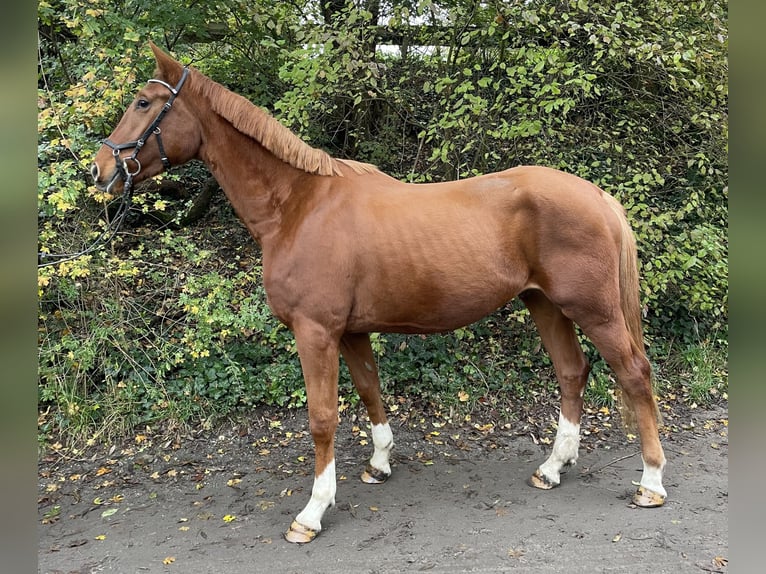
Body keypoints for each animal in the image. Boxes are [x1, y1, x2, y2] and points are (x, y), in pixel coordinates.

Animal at [88, 41, 664, 544]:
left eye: (144, 103)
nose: (100, 169)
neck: (297, 206)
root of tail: (598, 196)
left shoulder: (315, 332)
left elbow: (323, 418)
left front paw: (313, 512)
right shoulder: (350, 331)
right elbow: (370, 392)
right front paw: (379, 464)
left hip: (594, 310)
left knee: (634, 374)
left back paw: (651, 483)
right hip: (545, 304)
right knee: (572, 371)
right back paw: (552, 467)